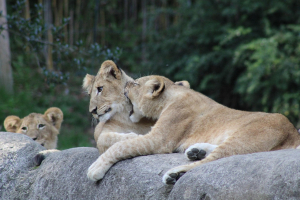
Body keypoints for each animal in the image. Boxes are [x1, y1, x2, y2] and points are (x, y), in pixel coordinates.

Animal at [85, 74, 300, 184]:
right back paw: (196, 151)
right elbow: (124, 139)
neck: (170, 98)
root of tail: (293, 131)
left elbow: (121, 147)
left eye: (136, 83)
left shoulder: (159, 139)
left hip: (247, 135)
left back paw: (175, 174)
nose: (125, 85)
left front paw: (96, 168)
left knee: (214, 160)